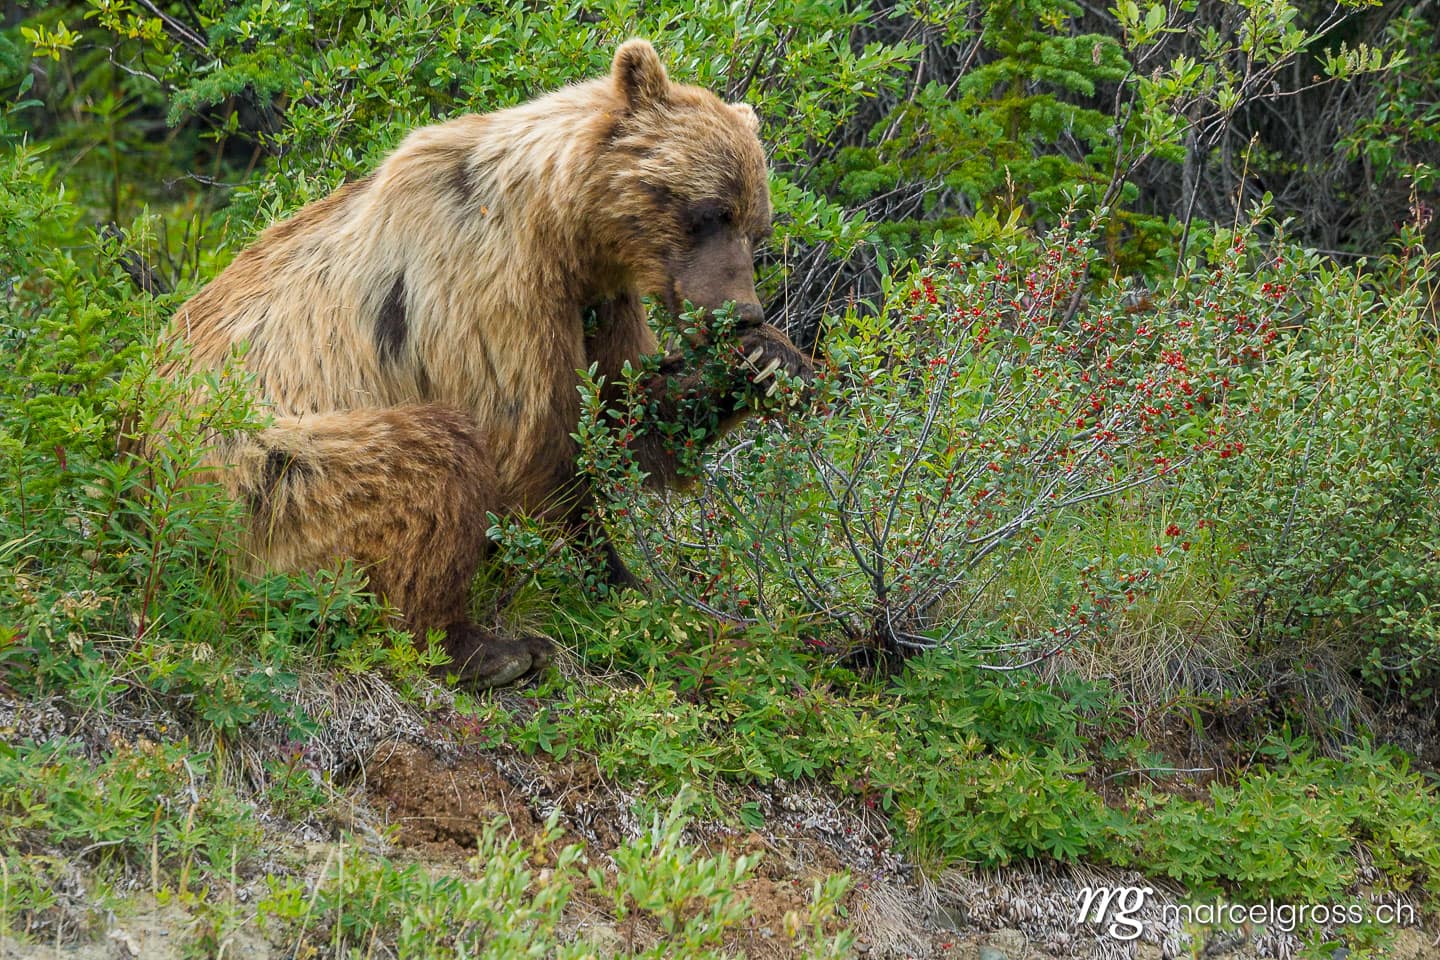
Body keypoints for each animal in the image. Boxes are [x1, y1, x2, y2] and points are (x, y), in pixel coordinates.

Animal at [150, 39, 813, 688]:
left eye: (756, 225)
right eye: (707, 211)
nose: (743, 312)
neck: (565, 227)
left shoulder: (599, 298)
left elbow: (625, 409)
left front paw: (770, 361)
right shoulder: (489, 282)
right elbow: (534, 439)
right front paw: (620, 586)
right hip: (272, 476)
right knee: (431, 457)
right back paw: (486, 649)